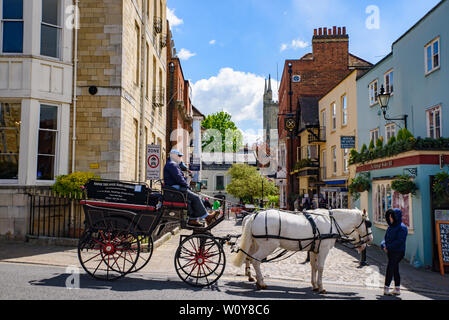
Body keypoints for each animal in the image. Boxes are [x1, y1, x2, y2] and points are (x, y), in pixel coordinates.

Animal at [231, 209, 372, 294]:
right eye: (368, 223)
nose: (370, 239)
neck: (332, 222)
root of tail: (254, 216)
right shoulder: (323, 249)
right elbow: (321, 267)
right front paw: (321, 287)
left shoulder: (314, 249)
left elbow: (314, 266)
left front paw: (314, 285)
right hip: (268, 245)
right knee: (255, 260)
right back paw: (261, 282)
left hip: (257, 244)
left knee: (250, 258)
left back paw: (254, 278)